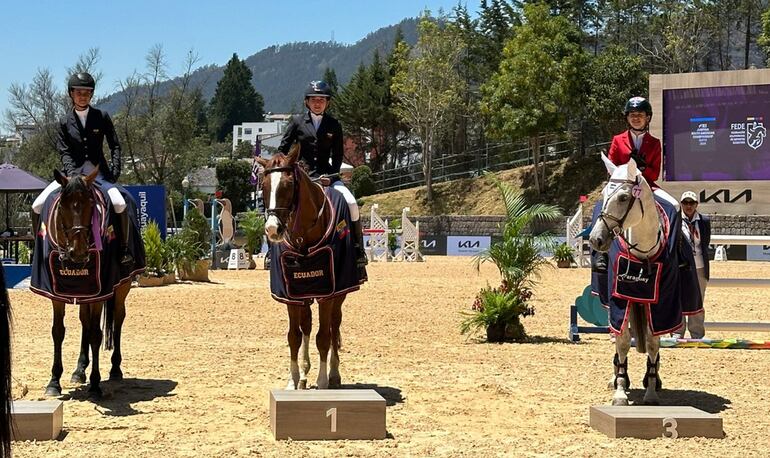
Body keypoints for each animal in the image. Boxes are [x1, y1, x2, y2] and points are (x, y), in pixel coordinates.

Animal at [38, 168, 132, 398]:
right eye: (62, 206)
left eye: (91, 205)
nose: (79, 252)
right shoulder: (54, 292)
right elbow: (58, 331)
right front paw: (54, 382)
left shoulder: (100, 291)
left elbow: (97, 335)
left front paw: (96, 385)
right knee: (85, 322)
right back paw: (79, 370)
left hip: (121, 287)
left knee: (117, 319)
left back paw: (115, 369)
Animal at [256, 145, 356, 388]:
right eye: (264, 186)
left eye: (288, 185)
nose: (272, 229)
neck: (304, 236)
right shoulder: (290, 295)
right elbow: (294, 336)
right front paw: (293, 380)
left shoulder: (329, 294)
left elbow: (324, 337)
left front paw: (322, 381)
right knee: (307, 326)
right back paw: (303, 373)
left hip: (339, 293)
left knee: (334, 326)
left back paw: (334, 374)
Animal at [588, 156, 664, 406]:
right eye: (603, 193)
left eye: (623, 197)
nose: (595, 239)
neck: (643, 251)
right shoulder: (619, 300)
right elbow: (621, 341)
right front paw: (620, 390)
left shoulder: (661, 305)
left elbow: (652, 342)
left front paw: (651, 390)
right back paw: (616, 376)